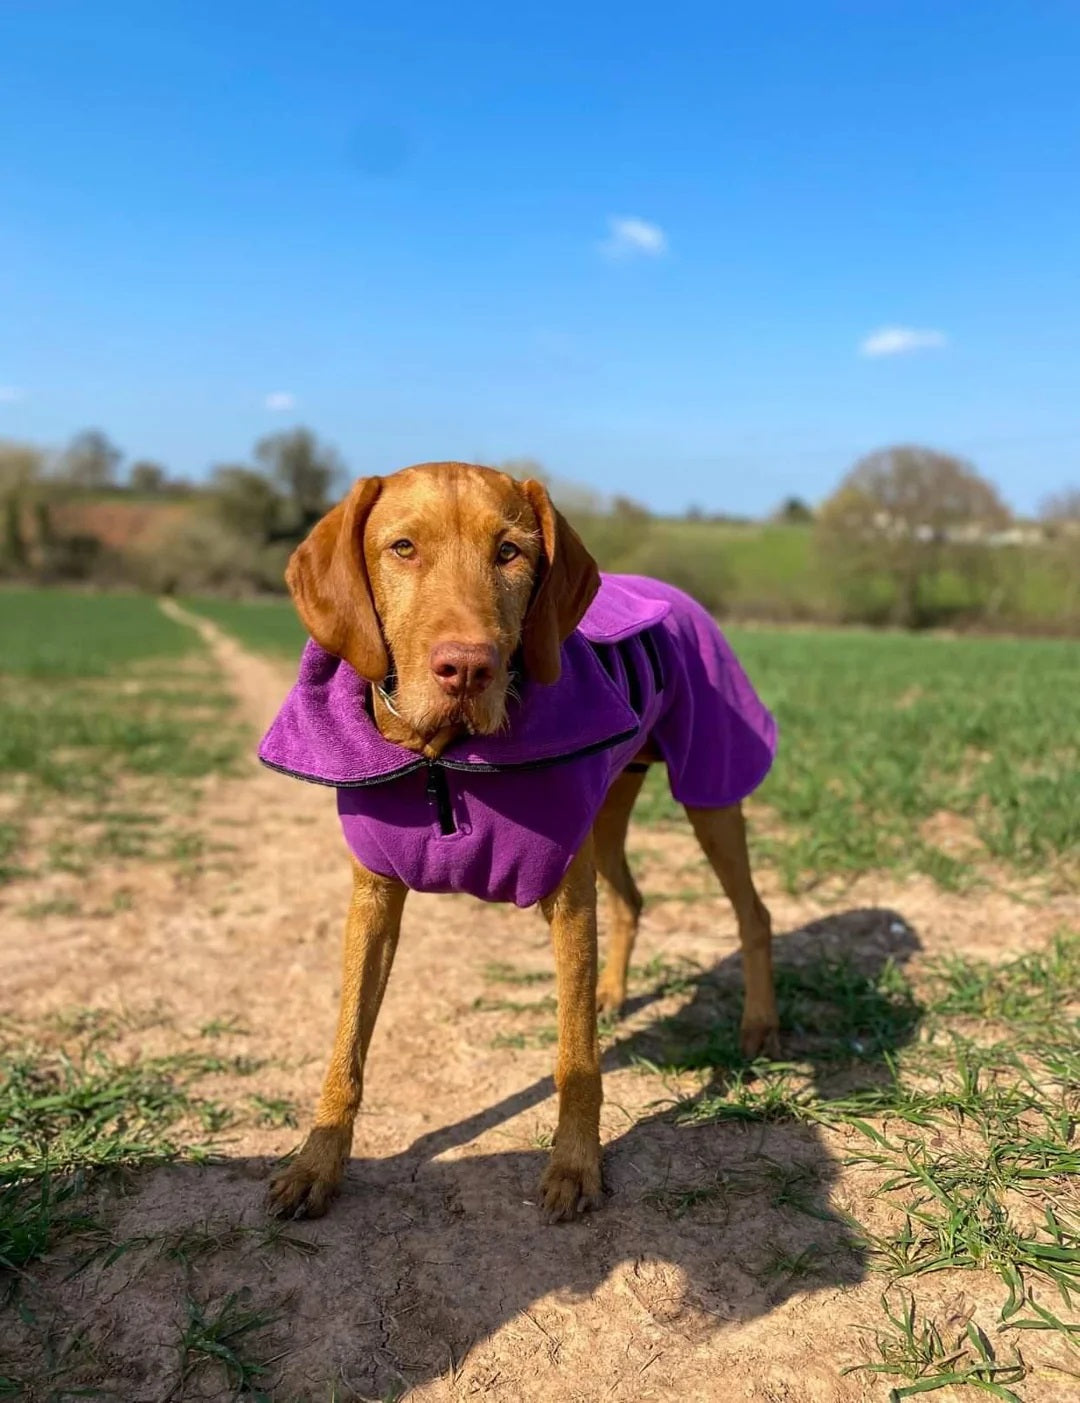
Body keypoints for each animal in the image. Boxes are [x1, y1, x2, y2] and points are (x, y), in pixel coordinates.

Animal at [259, 465, 774, 1223]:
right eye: (403, 547)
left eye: (510, 552)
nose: (467, 668)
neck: (445, 757)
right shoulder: (373, 899)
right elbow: (346, 1043)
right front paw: (316, 1163)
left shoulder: (568, 898)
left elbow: (576, 1058)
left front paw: (576, 1165)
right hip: (609, 808)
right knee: (631, 897)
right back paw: (615, 991)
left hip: (711, 787)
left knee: (753, 911)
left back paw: (759, 1023)